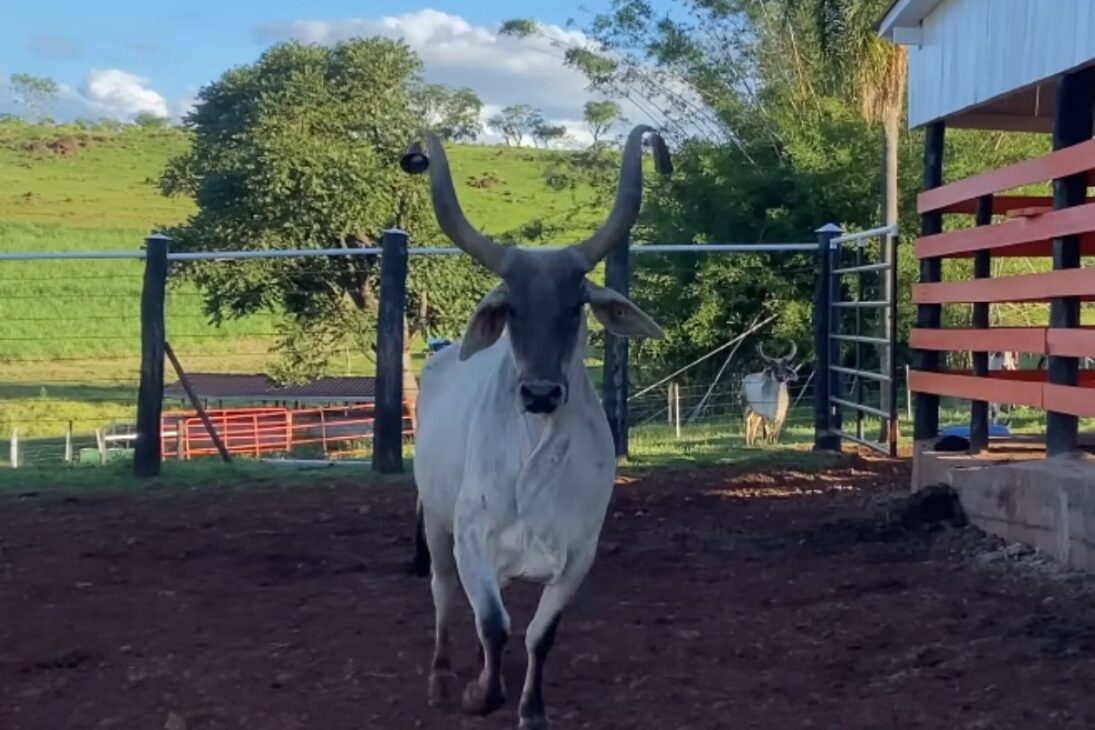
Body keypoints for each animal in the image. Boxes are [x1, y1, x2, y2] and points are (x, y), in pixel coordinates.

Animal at [400, 125, 670, 729]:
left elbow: (538, 636)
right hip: (437, 523)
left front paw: (532, 710)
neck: (537, 462)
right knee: (443, 596)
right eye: (513, 310)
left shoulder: (579, 554)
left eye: (574, 306)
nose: (541, 393)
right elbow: (493, 625)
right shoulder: (471, 540)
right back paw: (439, 677)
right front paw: (480, 694)